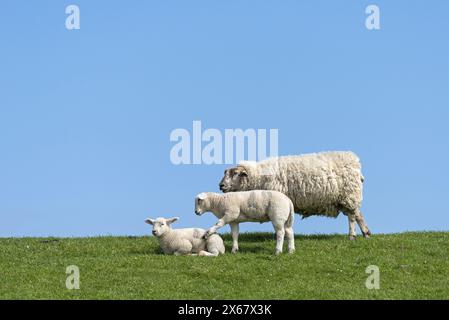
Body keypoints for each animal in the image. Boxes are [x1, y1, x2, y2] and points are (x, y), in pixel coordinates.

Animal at [218, 151, 372, 240]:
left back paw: (352, 235)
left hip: (349, 195)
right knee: (358, 214)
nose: (221, 186)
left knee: (352, 216)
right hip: (346, 198)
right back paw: (366, 233)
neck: (259, 176)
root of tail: (355, 162)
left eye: (235, 173)